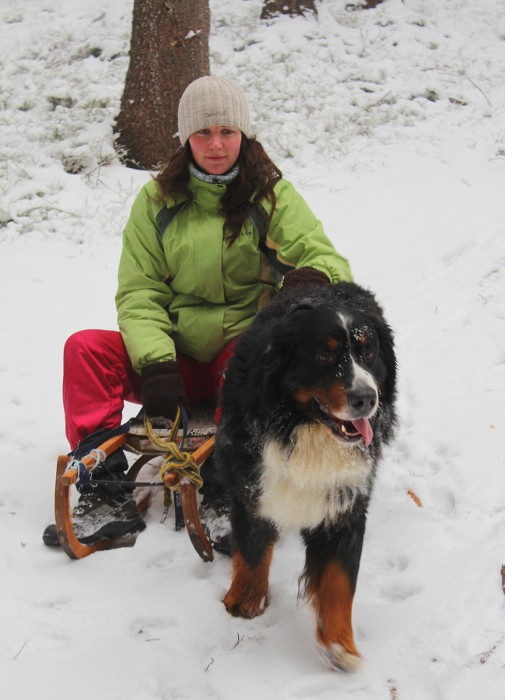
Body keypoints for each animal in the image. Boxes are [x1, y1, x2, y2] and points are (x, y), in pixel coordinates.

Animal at [211, 282, 396, 668]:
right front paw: (245, 600)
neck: (304, 429)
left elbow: (339, 579)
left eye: (368, 352)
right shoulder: (251, 483)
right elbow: (252, 549)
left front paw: (340, 643)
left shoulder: (344, 500)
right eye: (325, 356)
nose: (366, 398)